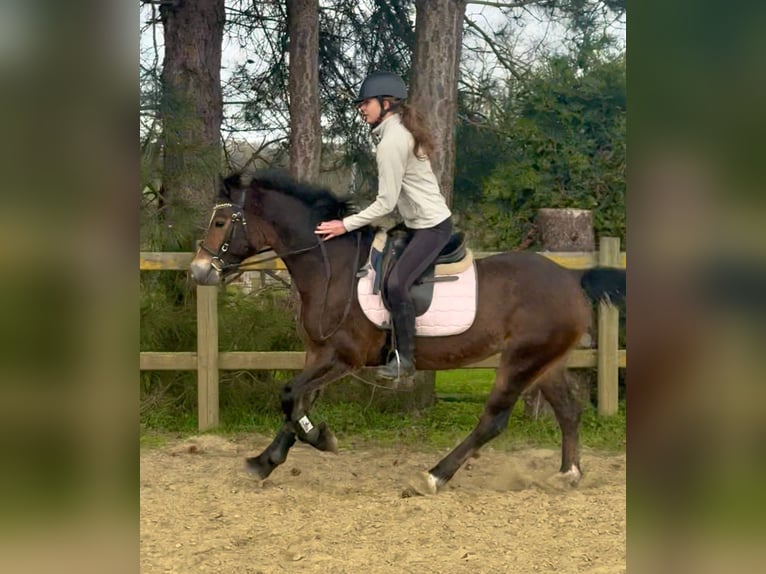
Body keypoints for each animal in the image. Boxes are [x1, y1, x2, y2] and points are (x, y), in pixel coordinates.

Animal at [190, 170, 626, 494]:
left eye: (221, 222)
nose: (198, 271)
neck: (332, 268)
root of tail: (572, 277)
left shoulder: (343, 357)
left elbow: (291, 396)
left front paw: (320, 439)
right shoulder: (319, 353)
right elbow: (297, 401)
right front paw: (265, 461)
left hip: (520, 361)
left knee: (493, 421)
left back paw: (434, 476)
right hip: (544, 362)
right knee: (568, 411)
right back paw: (568, 473)